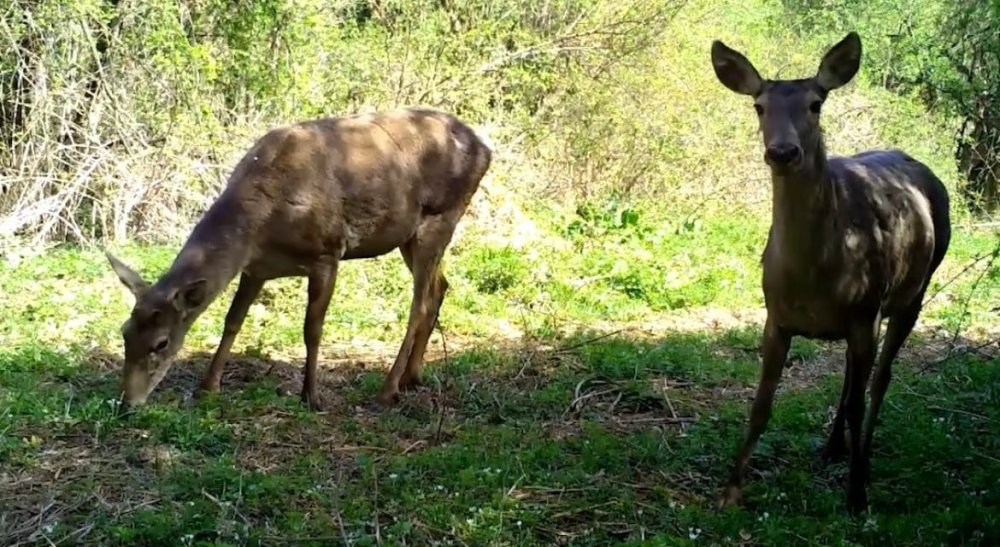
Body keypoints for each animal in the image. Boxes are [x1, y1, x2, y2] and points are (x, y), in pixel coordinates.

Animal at [104, 107, 492, 414]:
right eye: (124, 332)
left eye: (161, 342)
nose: (126, 403)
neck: (261, 224)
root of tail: (485, 148)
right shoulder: (256, 267)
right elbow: (233, 320)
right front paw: (208, 386)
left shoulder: (327, 253)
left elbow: (312, 329)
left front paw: (311, 396)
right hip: (409, 236)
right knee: (440, 287)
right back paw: (412, 377)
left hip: (441, 217)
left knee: (418, 304)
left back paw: (388, 389)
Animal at [712, 33, 952, 512]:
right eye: (759, 106)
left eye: (816, 103)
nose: (782, 152)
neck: (814, 275)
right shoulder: (775, 316)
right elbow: (761, 404)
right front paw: (731, 490)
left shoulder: (866, 310)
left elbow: (861, 399)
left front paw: (856, 495)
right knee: (850, 374)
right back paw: (833, 447)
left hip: (913, 292)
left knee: (879, 380)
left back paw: (863, 458)